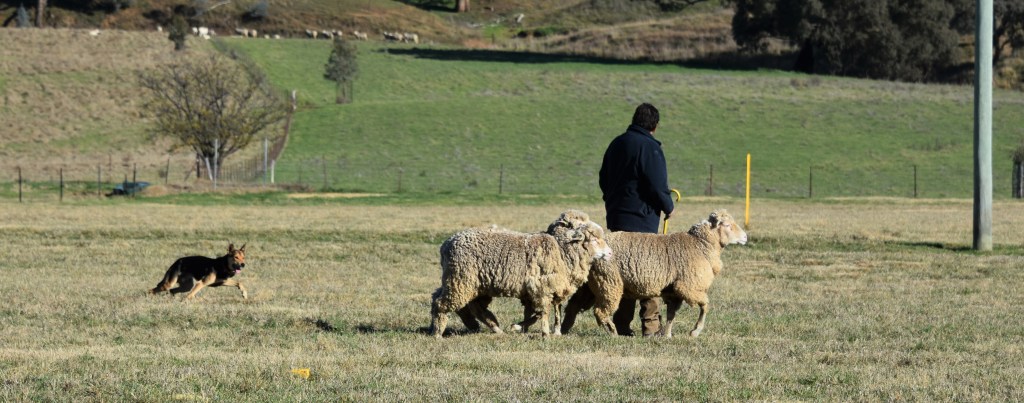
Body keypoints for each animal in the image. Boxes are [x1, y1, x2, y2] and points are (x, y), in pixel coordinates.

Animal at [429, 210, 612, 338]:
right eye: (594, 239)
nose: (610, 253)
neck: (560, 250)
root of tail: (447, 243)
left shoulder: (544, 290)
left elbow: (546, 311)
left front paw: (544, 330)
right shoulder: (541, 288)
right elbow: (542, 312)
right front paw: (543, 333)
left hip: (471, 283)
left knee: (457, 301)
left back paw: (489, 327)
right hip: (461, 280)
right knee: (442, 302)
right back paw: (438, 332)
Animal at [561, 209, 747, 338]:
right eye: (727, 225)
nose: (745, 237)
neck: (701, 246)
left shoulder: (675, 292)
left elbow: (671, 315)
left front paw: (667, 335)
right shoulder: (688, 287)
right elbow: (705, 306)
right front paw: (695, 331)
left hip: (591, 285)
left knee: (573, 307)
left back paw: (563, 331)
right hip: (609, 283)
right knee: (600, 312)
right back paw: (613, 333)